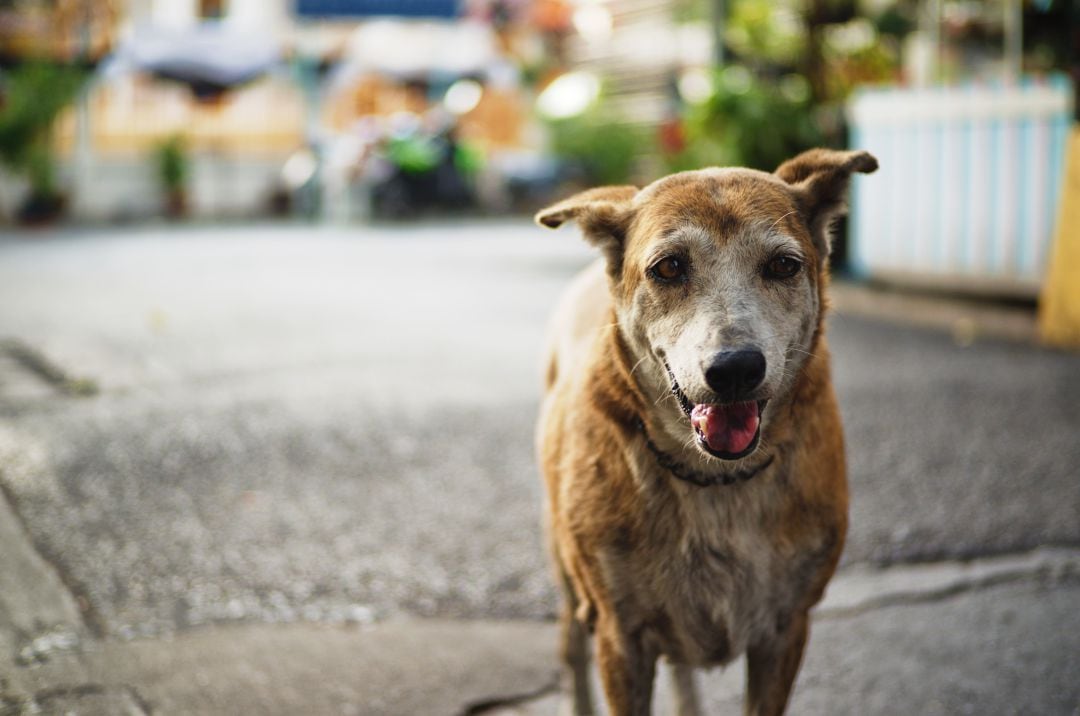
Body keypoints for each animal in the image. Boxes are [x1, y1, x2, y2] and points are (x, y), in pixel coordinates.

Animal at [533, 147, 876, 712]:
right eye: (669, 267)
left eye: (783, 265)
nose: (735, 368)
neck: (715, 478)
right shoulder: (619, 636)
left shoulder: (786, 629)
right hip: (568, 574)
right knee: (571, 650)